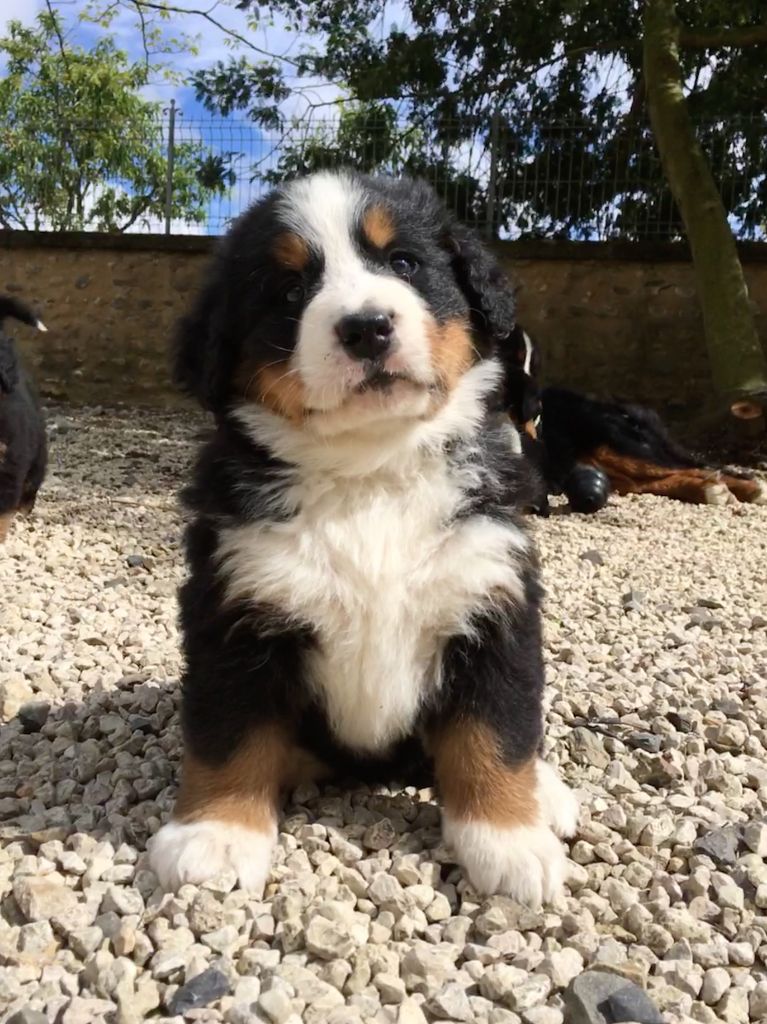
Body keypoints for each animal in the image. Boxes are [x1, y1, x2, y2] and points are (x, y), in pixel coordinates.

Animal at [148, 171, 579, 906]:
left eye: (402, 263)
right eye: (289, 289)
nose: (366, 327)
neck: (371, 471)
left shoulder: (491, 596)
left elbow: (493, 731)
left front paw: (509, 840)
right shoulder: (234, 607)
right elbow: (231, 734)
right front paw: (217, 834)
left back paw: (544, 793)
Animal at [500, 328, 767, 509]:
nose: (536, 410)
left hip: (616, 445)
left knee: (692, 467)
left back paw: (747, 489)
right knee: (650, 481)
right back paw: (709, 490)